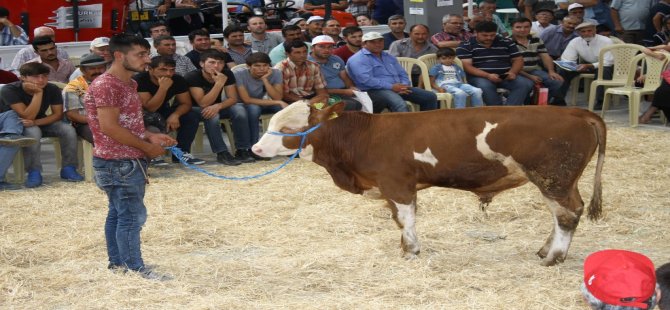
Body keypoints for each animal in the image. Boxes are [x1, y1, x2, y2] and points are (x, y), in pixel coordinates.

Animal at [252, 100, 608, 266]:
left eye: (289, 128)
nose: (255, 148)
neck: (361, 137)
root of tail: (577, 112)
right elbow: (400, 219)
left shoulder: (396, 183)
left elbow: (406, 218)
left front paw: (411, 250)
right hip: (565, 180)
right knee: (569, 211)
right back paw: (546, 249)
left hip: (553, 178)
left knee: (566, 215)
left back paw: (553, 257)